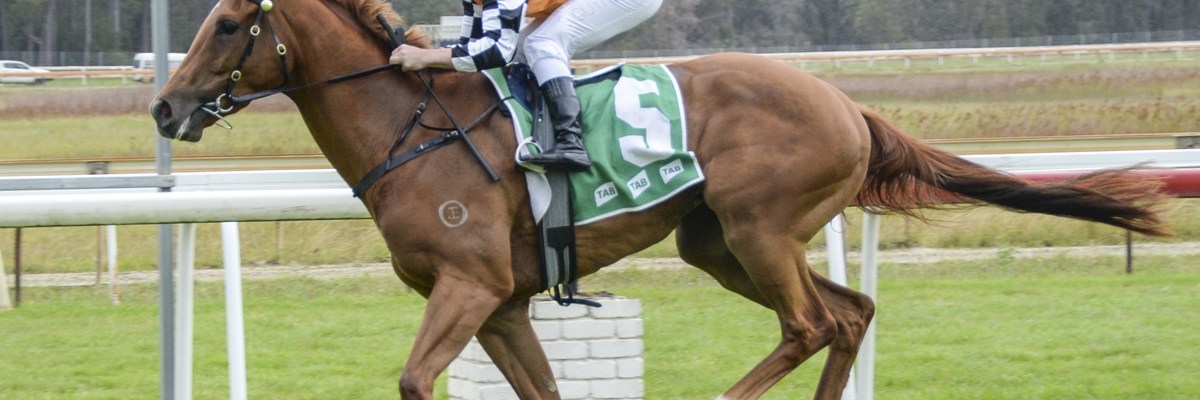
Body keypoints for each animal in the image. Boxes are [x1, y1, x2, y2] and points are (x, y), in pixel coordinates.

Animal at [149, 1, 1170, 398]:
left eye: (230, 24)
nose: (165, 106)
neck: (415, 126)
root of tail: (849, 104)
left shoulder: (469, 286)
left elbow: (413, 378)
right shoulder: (503, 303)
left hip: (759, 229)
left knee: (811, 324)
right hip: (715, 242)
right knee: (850, 313)